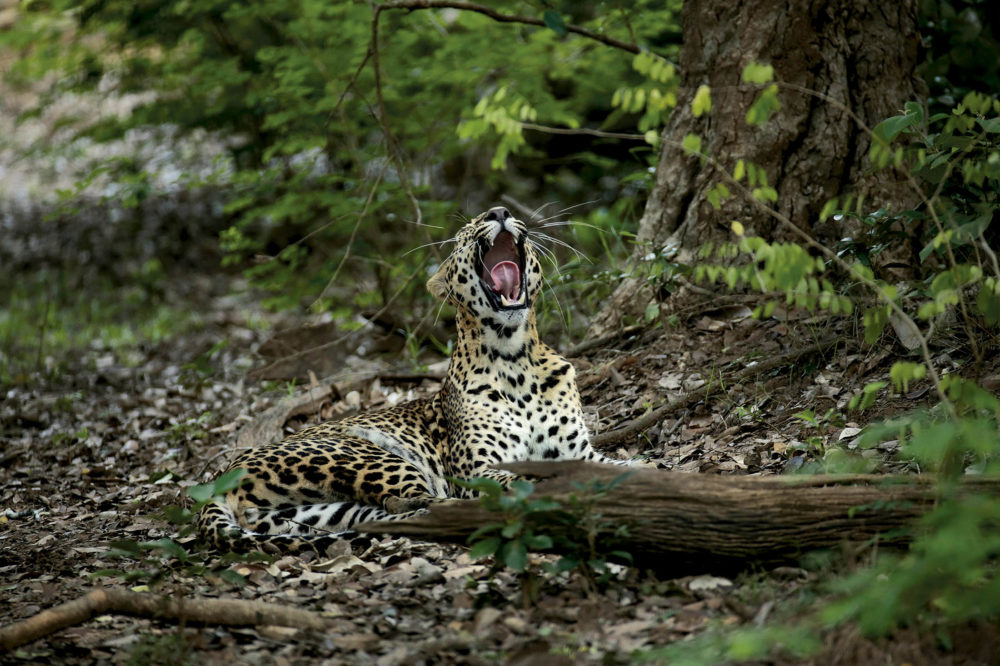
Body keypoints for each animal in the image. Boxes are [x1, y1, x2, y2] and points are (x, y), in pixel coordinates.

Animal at [198, 206, 632, 555]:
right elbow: (519, 478)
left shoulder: (579, 452)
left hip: (319, 509)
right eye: (464, 232)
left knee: (392, 512)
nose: (499, 211)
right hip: (369, 455)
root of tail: (220, 477)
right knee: (423, 501)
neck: (514, 359)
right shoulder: (475, 471)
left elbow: (619, 465)